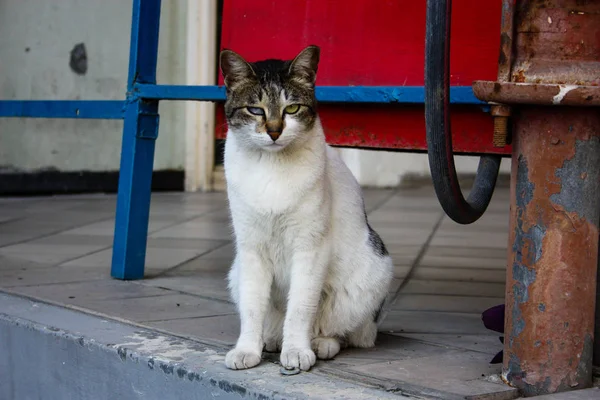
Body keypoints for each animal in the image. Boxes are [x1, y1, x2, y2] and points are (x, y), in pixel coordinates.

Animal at [220, 44, 394, 372]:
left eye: (291, 109)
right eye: (255, 109)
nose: (274, 131)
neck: (271, 167)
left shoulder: (310, 247)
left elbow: (300, 307)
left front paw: (297, 351)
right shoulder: (251, 249)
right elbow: (252, 308)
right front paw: (247, 349)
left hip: (370, 275)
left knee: (341, 331)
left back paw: (320, 343)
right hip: (235, 272)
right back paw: (270, 340)